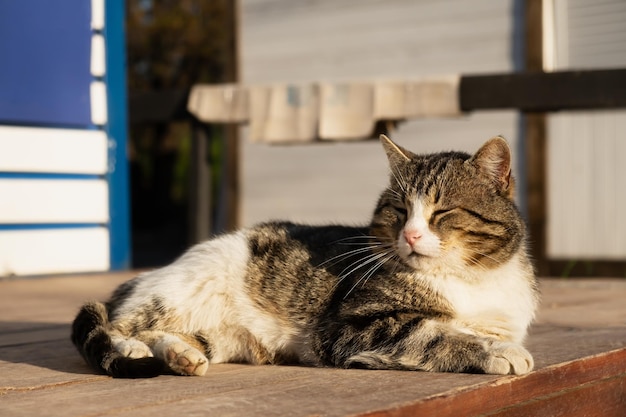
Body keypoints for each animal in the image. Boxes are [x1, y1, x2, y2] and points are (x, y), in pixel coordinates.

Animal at [69, 134, 536, 376]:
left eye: (442, 212)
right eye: (399, 210)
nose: (411, 234)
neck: (468, 281)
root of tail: (135, 280)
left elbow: (458, 331)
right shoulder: (350, 328)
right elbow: (435, 333)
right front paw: (497, 353)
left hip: (227, 338)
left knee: (169, 335)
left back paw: (182, 357)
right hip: (174, 293)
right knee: (119, 326)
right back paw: (132, 349)